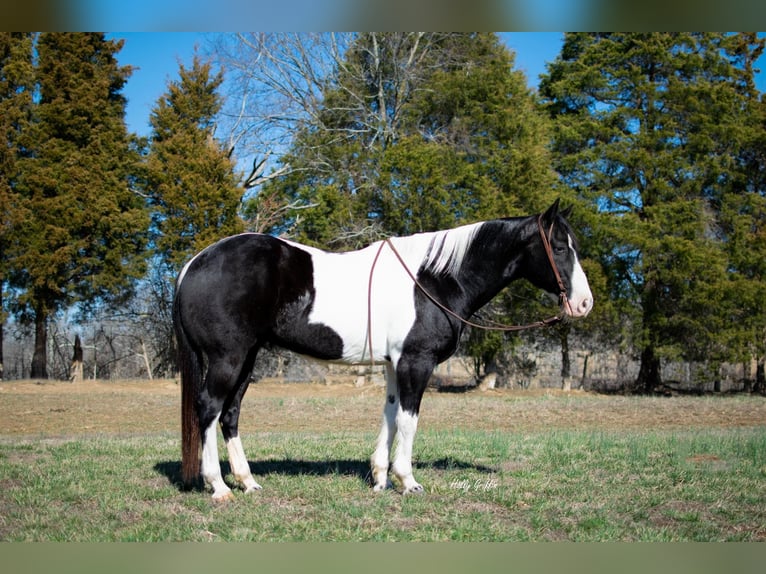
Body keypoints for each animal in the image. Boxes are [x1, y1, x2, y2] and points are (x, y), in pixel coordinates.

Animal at [172, 200, 592, 502]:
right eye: (559, 246)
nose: (584, 304)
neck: (433, 279)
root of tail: (193, 264)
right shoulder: (415, 362)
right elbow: (408, 419)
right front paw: (407, 481)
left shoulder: (394, 364)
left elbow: (390, 415)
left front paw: (379, 478)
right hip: (228, 358)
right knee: (209, 408)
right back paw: (218, 487)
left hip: (248, 358)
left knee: (230, 414)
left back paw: (247, 482)